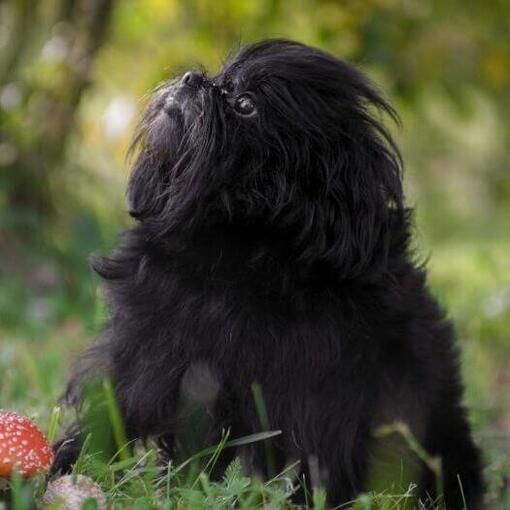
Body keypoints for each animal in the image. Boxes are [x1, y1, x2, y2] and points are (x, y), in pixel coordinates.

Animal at [55, 40, 482, 510]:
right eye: (219, 78)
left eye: (245, 104)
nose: (192, 79)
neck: (229, 248)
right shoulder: (143, 357)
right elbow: (112, 418)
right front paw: (63, 465)